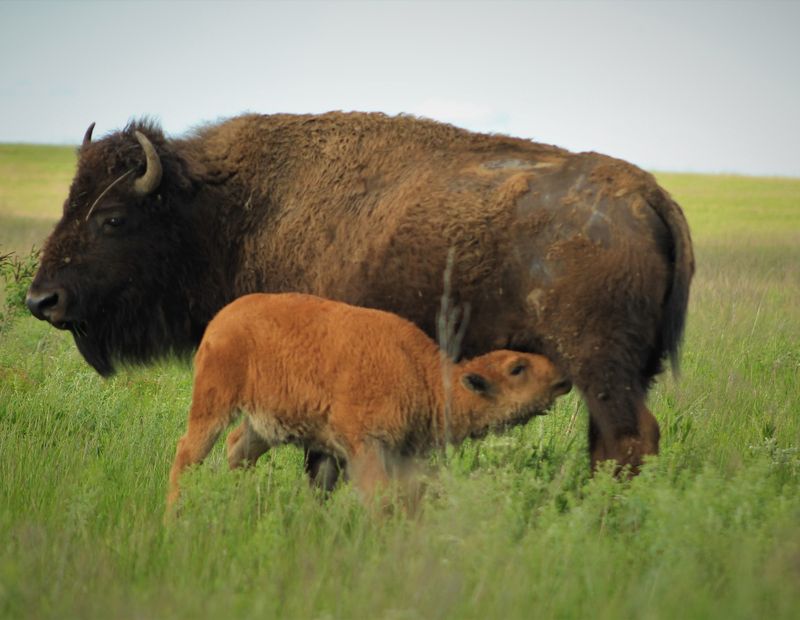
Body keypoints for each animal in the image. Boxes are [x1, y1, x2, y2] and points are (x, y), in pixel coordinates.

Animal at [27, 112, 693, 472]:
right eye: (67, 203)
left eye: (112, 217)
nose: (41, 301)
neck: (231, 208)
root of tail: (649, 196)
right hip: (624, 371)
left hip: (599, 366)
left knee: (627, 439)